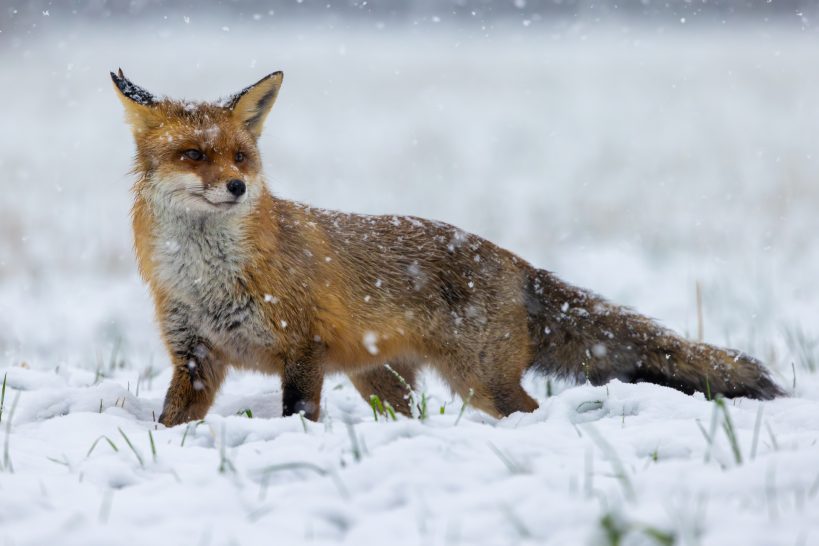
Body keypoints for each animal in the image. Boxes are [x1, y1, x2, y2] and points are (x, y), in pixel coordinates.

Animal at [112, 69, 784, 424]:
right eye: (193, 154)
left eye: (241, 156)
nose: (238, 187)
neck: (206, 276)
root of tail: (512, 258)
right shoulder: (195, 356)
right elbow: (171, 421)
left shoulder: (302, 349)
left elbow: (298, 413)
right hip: (383, 384)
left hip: (482, 382)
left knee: (528, 410)